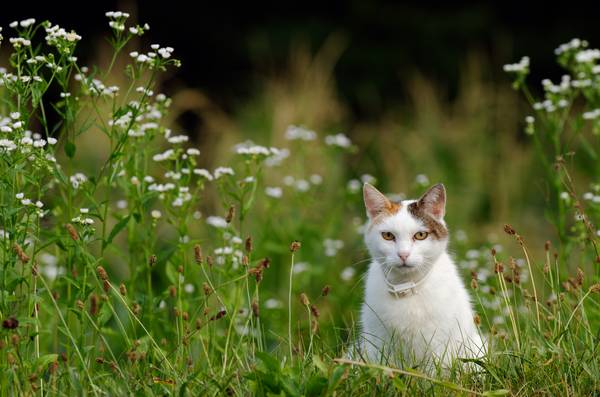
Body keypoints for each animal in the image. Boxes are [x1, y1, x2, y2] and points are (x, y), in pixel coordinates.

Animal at [358, 183, 486, 368]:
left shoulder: (439, 342)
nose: (403, 254)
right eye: (388, 235)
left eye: (420, 235)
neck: (406, 286)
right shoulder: (378, 342)